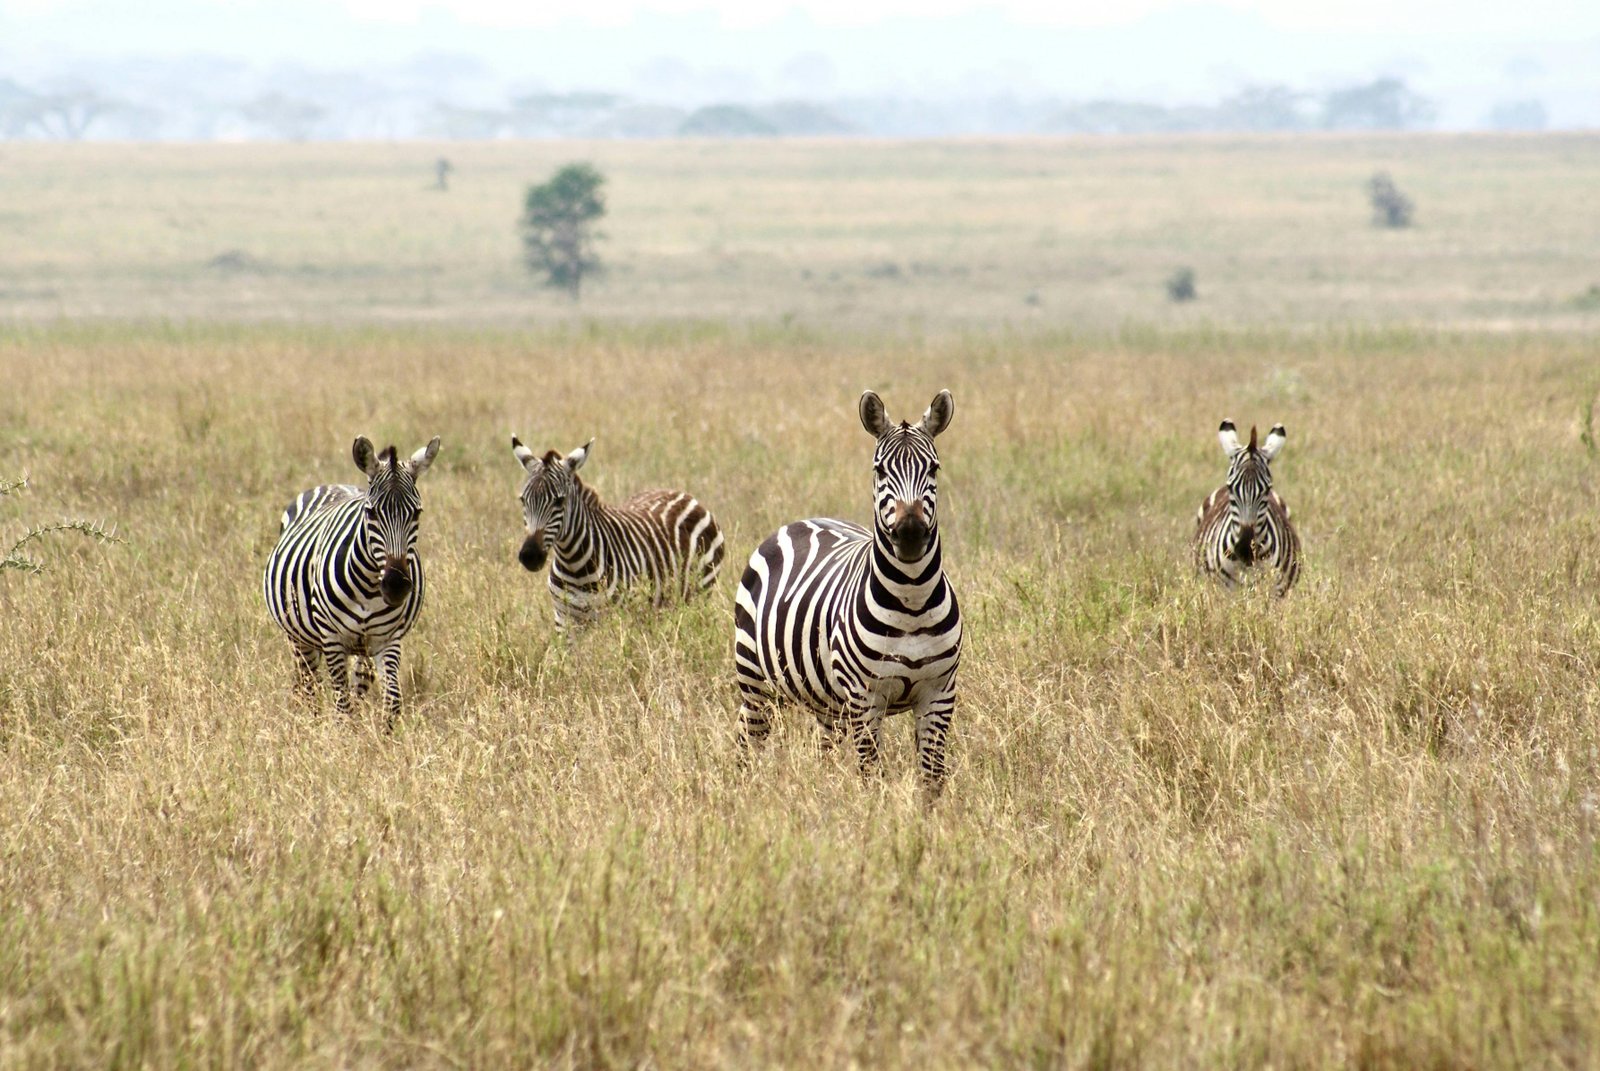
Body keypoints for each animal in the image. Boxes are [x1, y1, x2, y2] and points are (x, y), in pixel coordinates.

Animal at [263, 435, 440, 726]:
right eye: (371, 513)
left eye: (417, 513)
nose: (396, 586)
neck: (369, 586)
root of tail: (333, 485)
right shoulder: (332, 638)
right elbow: (341, 706)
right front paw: (340, 737)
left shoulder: (388, 639)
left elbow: (392, 703)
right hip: (299, 637)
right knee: (310, 686)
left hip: (362, 647)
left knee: (358, 686)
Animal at [511, 436, 725, 631]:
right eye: (523, 500)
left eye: (559, 501)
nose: (530, 556)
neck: (574, 565)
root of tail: (683, 494)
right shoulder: (564, 620)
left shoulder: (619, 619)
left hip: (699, 594)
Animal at [733, 390, 962, 797]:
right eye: (880, 470)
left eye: (933, 469)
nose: (910, 534)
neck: (912, 600)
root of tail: (803, 520)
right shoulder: (864, 697)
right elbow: (872, 774)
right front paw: (874, 813)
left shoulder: (939, 694)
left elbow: (931, 778)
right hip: (754, 681)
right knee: (748, 740)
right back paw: (742, 794)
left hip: (827, 701)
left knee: (822, 751)